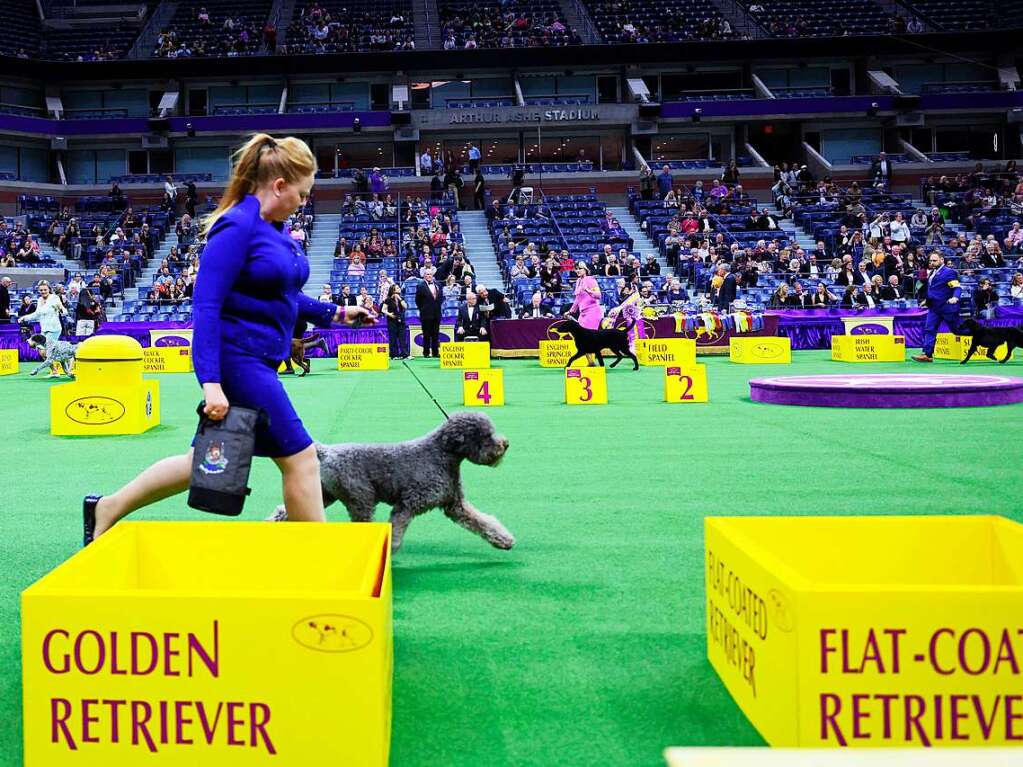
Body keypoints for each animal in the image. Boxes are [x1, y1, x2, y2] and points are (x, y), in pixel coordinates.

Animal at [268, 415, 515, 552]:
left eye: (491, 431)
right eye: (485, 435)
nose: (505, 444)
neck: (440, 455)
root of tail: (326, 451)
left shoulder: (455, 505)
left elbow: (483, 522)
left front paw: (503, 539)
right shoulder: (408, 504)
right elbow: (397, 526)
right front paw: (392, 548)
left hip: (324, 493)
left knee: (283, 510)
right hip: (361, 499)